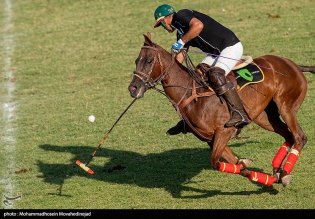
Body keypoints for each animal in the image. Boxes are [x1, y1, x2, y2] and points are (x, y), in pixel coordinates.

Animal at [129, 33, 312, 187]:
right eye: (137, 60)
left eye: (149, 61)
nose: (133, 88)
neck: (191, 94)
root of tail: (294, 65)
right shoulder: (211, 139)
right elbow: (237, 165)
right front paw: (259, 174)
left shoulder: (224, 131)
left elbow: (217, 163)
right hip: (264, 117)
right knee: (288, 135)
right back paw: (277, 172)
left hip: (286, 106)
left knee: (299, 137)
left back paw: (285, 173)